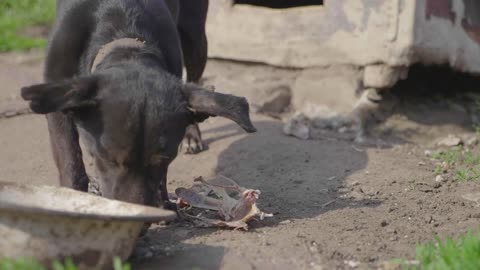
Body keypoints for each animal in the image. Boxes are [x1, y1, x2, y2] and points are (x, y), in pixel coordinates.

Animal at [20, 0, 256, 208]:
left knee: (195, 78)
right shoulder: (58, 91)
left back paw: (191, 135)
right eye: (107, 158)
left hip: (195, 39)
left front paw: (162, 201)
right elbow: (70, 160)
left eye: (164, 159)